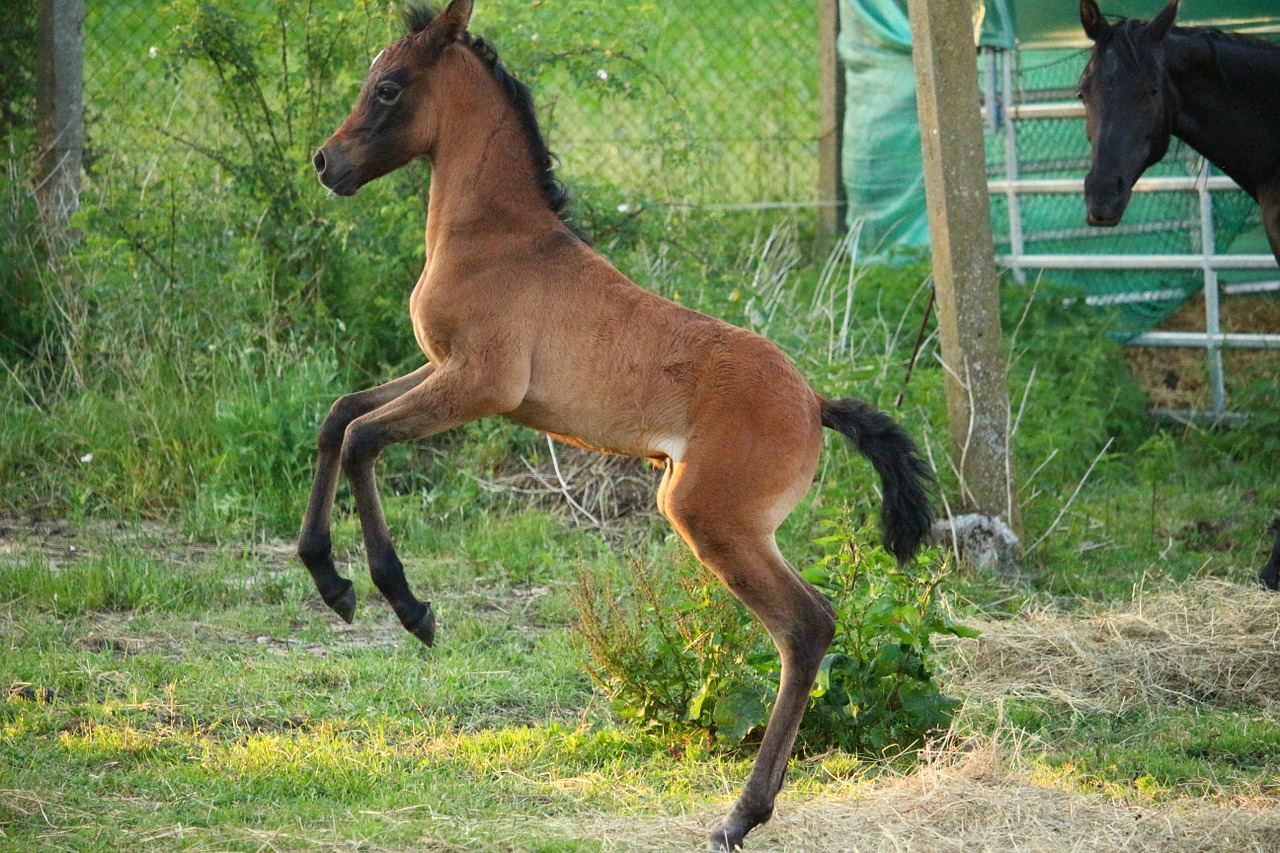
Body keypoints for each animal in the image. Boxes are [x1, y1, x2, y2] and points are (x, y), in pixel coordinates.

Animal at [296, 3, 931, 845]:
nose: (325, 162)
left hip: (708, 519)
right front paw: (330, 581)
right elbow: (339, 416)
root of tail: (813, 403)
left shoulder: (478, 384)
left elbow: (363, 437)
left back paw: (740, 815)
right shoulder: (439, 370)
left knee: (807, 626)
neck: (496, 237)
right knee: (814, 623)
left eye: (390, 87)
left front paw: (407, 605)